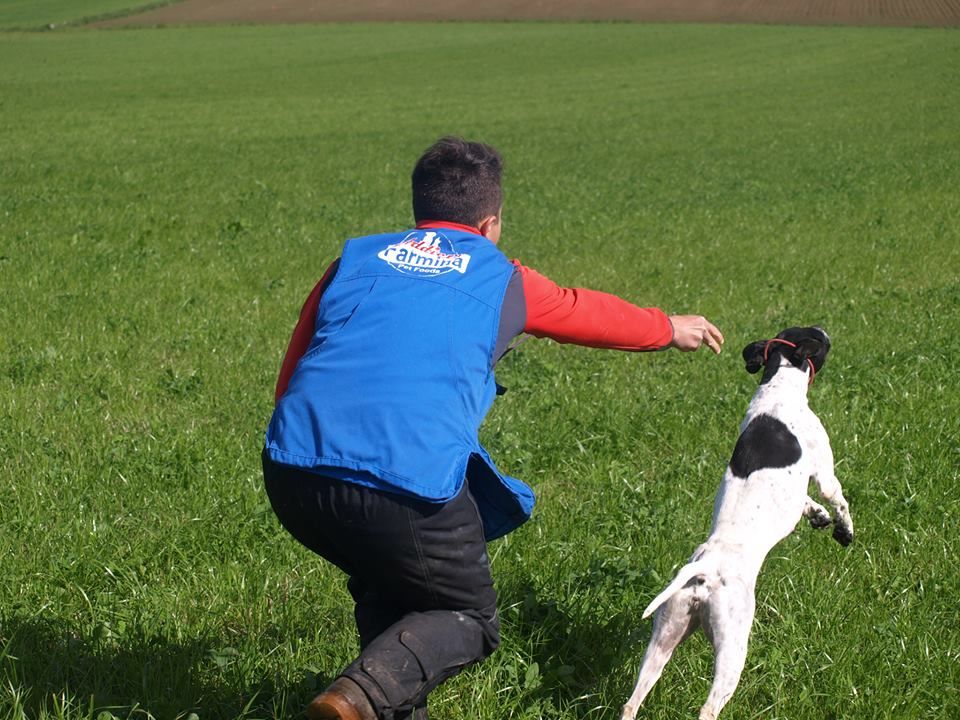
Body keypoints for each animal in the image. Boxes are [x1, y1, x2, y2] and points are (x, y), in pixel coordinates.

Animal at [624, 326, 856, 720]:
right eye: (816, 337)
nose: (826, 330)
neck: (777, 386)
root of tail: (703, 570)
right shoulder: (824, 473)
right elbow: (838, 500)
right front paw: (844, 530)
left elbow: (806, 504)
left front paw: (818, 517)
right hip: (733, 647)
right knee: (708, 709)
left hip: (666, 635)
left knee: (631, 701)